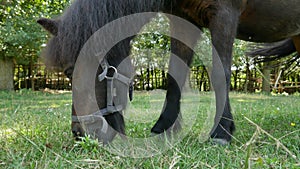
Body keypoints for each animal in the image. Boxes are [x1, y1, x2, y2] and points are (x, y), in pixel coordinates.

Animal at [37, 0, 300, 145]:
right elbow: (175, 74)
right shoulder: (185, 18)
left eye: (70, 71)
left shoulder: (224, 14)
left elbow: (220, 73)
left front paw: (221, 132)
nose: (79, 133)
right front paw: (164, 127)